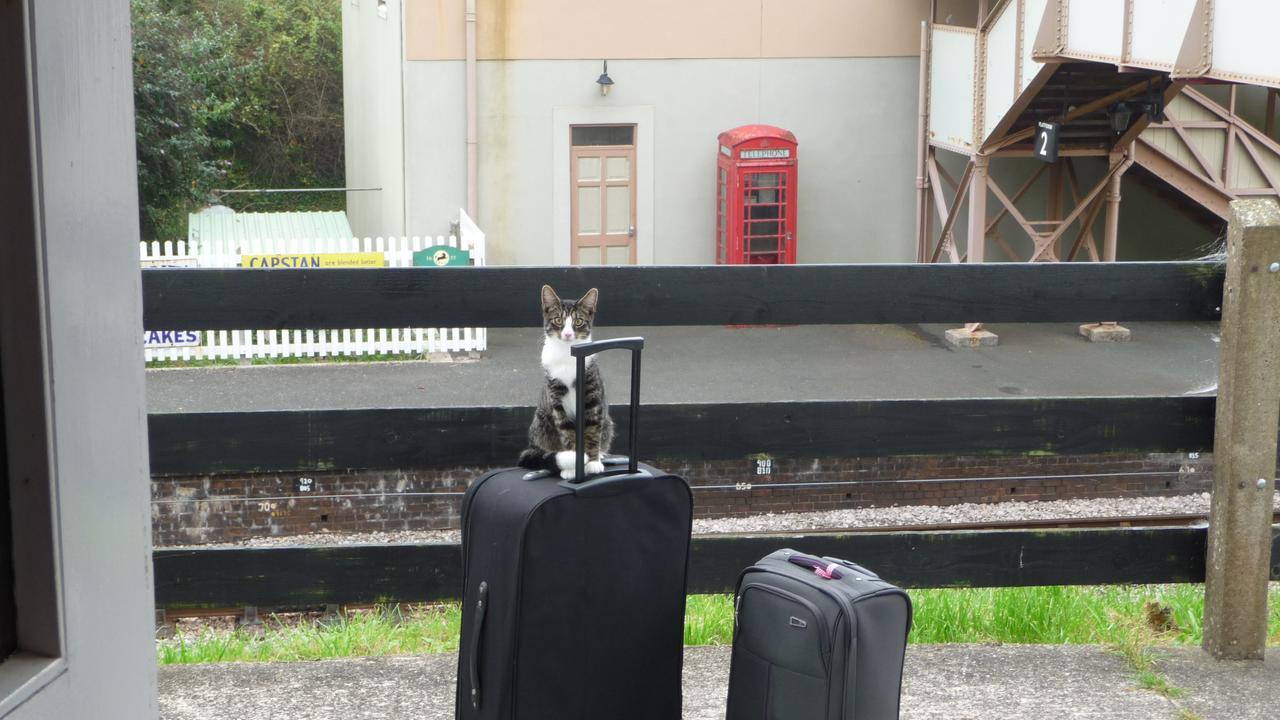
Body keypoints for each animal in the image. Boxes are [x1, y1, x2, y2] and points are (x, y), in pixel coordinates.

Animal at [514, 283, 614, 479]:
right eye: (558, 320)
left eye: (578, 321)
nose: (567, 334)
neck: (568, 355)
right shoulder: (557, 398)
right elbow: (567, 433)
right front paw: (572, 466)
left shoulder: (592, 394)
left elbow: (592, 430)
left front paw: (592, 462)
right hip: (541, 423)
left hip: (607, 422)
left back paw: (599, 454)